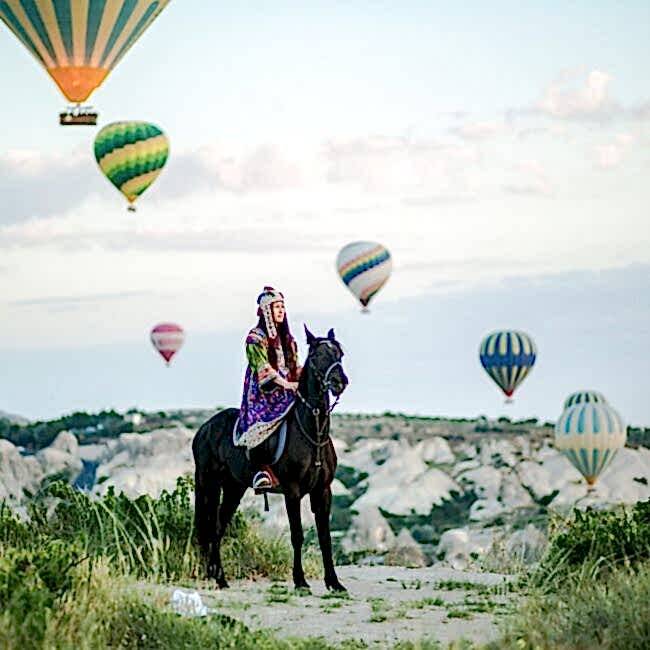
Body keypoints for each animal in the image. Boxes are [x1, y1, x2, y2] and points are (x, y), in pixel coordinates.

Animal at [192, 325, 349, 592]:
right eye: (317, 355)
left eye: (340, 353)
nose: (340, 382)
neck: (312, 433)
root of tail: (204, 429)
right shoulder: (292, 491)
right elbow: (297, 535)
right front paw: (300, 581)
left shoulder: (323, 491)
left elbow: (325, 536)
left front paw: (334, 582)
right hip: (209, 484)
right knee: (210, 526)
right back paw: (215, 575)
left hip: (234, 487)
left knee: (219, 526)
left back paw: (220, 578)